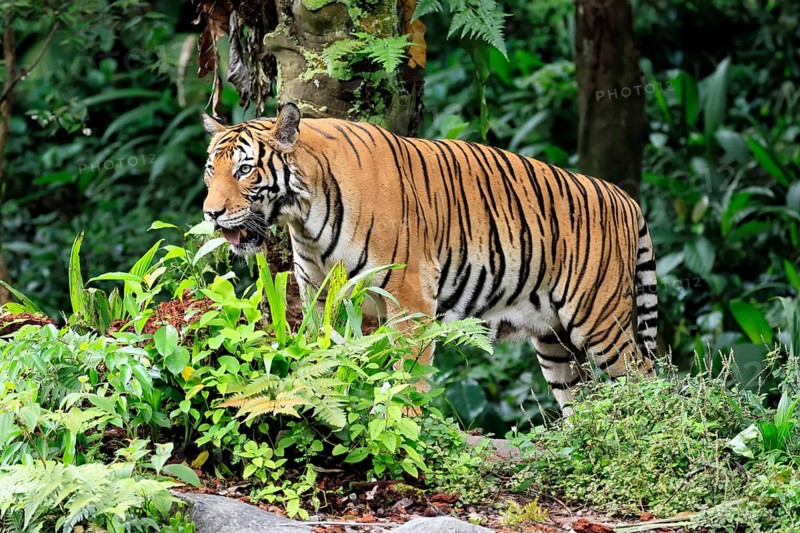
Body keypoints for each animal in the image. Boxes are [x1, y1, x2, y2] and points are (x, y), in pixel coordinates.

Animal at [200, 102, 659, 409]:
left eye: (244, 170)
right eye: (210, 170)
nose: (211, 213)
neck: (305, 215)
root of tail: (626, 198)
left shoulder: (410, 299)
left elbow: (409, 373)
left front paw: (406, 425)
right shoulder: (318, 294)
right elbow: (322, 355)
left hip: (600, 322)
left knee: (647, 379)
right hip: (554, 342)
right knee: (580, 402)